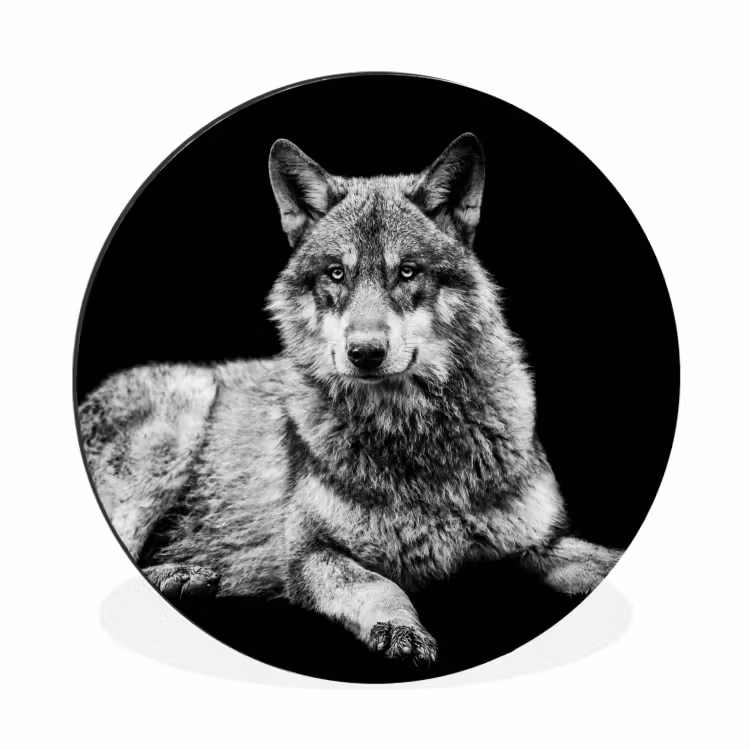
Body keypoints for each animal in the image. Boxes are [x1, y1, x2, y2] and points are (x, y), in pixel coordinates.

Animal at [78, 133, 621, 667]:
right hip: (181, 414)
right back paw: (182, 575)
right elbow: (381, 586)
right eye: (337, 274)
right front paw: (401, 630)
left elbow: (600, 560)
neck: (413, 437)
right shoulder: (310, 555)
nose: (364, 353)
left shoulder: (539, 543)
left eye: (407, 272)